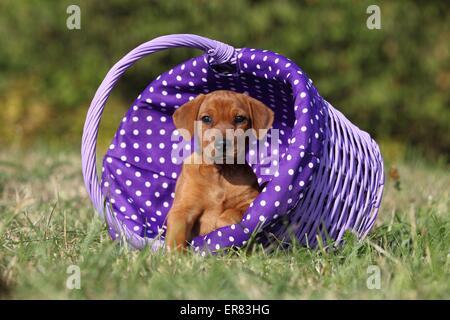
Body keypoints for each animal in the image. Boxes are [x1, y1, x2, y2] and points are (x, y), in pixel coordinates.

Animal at [163, 90, 272, 252]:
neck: (221, 172)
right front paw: (173, 255)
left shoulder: (251, 199)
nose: (223, 144)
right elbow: (176, 236)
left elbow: (234, 211)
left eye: (239, 118)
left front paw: (222, 225)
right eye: (206, 118)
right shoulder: (182, 210)